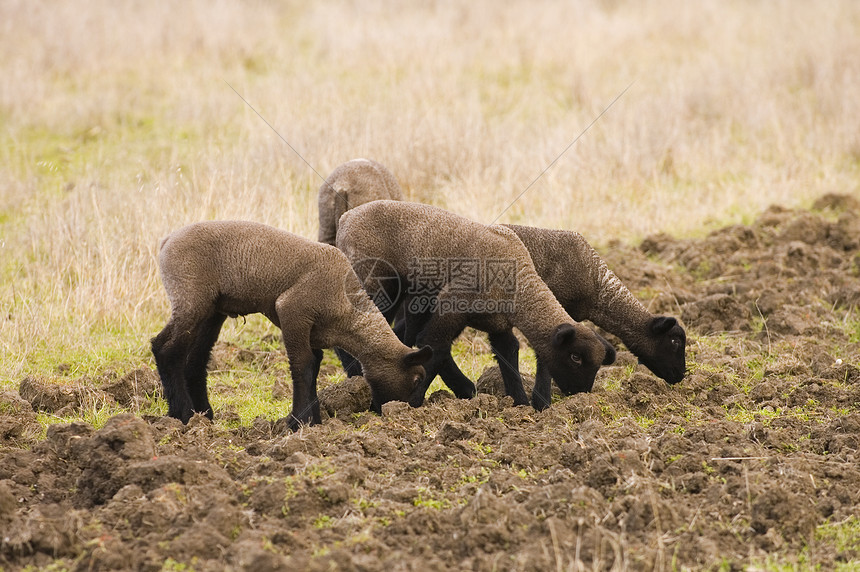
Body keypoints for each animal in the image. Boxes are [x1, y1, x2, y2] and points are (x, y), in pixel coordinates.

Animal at [152, 220, 434, 428]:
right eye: (417, 379)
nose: (409, 411)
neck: (346, 311)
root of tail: (167, 241)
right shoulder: (292, 310)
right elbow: (303, 367)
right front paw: (299, 422)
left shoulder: (314, 332)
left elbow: (314, 368)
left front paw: (313, 420)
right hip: (191, 296)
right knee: (166, 348)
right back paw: (182, 415)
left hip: (212, 309)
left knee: (196, 360)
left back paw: (205, 415)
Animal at [332, 201, 616, 406]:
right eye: (575, 357)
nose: (580, 394)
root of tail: (346, 217)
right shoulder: (452, 305)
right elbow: (434, 346)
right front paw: (412, 405)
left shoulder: (499, 326)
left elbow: (509, 354)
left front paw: (520, 404)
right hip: (376, 283)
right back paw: (357, 377)